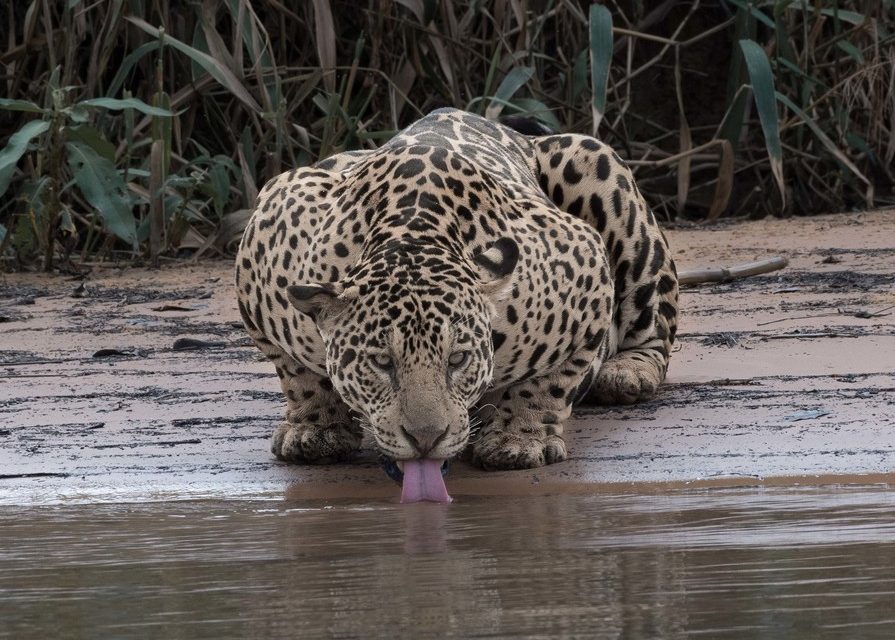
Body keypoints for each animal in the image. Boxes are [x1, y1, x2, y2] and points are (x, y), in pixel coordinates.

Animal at [235, 108, 678, 473]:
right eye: (381, 362)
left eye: (458, 359)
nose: (425, 439)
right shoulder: (266, 230)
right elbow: (297, 374)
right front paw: (316, 428)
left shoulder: (583, 257)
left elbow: (553, 380)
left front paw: (517, 437)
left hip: (595, 163)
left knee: (655, 321)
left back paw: (627, 372)